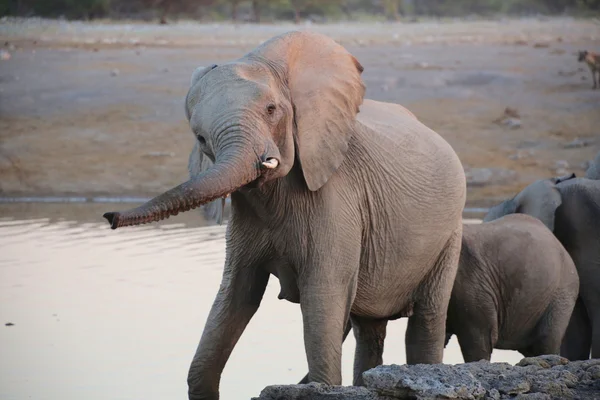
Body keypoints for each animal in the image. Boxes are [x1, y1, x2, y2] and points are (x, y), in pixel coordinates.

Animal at [103, 29, 466, 398]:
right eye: (200, 137)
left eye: (271, 109)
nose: (110, 217)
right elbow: (235, 296)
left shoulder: (336, 198)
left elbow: (322, 298)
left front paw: (321, 385)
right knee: (369, 330)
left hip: (450, 234)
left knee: (427, 320)